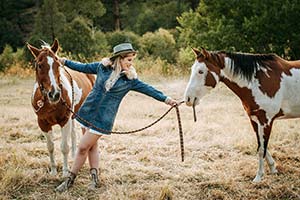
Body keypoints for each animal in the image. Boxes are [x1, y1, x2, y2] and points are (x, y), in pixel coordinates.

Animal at [27, 39, 95, 177]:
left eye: (57, 64)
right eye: (40, 65)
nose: (54, 94)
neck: (50, 103)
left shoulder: (64, 120)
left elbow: (64, 147)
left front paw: (65, 172)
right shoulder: (43, 123)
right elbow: (50, 146)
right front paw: (53, 172)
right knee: (73, 134)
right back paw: (74, 156)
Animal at [184, 47, 300, 182]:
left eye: (201, 71)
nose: (188, 99)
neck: (258, 80)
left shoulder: (265, 121)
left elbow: (261, 149)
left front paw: (258, 177)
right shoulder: (254, 120)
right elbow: (260, 145)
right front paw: (273, 168)